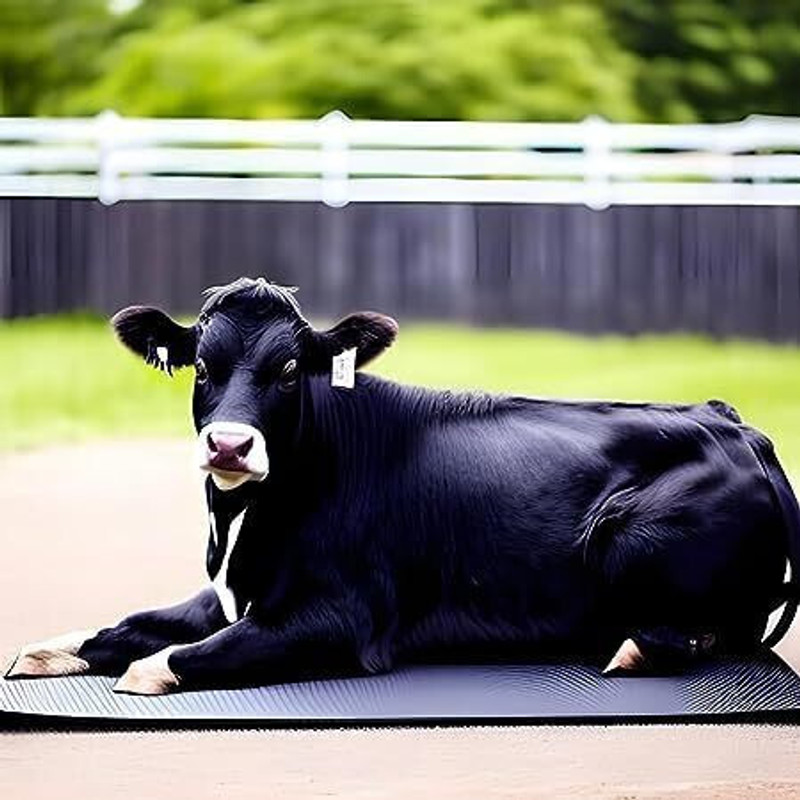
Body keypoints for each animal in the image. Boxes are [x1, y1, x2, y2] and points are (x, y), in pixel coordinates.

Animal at [6, 277, 799, 695]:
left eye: (290, 370)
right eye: (201, 365)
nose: (228, 444)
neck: (241, 527)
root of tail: (730, 421)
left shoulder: (340, 617)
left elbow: (171, 657)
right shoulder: (229, 592)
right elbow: (129, 626)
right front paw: (43, 651)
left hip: (625, 537)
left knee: (707, 632)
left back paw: (634, 647)